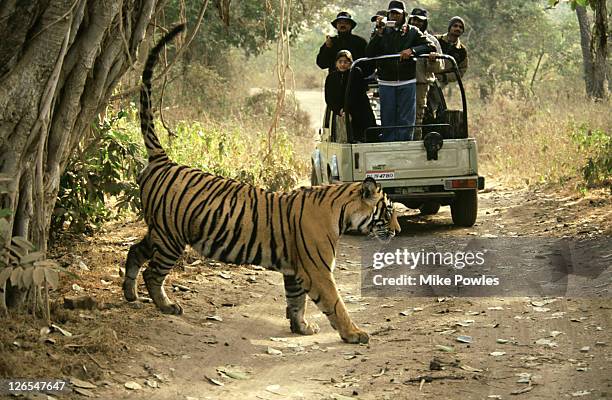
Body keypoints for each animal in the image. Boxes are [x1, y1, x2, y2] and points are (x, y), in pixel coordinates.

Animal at [123, 24, 402, 344]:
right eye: (387, 211)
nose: (397, 231)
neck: (341, 213)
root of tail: (164, 160)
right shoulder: (317, 269)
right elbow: (335, 303)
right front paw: (354, 333)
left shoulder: (295, 269)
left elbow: (297, 300)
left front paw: (301, 326)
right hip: (171, 236)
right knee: (152, 273)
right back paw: (167, 306)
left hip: (160, 231)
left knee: (135, 252)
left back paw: (130, 295)